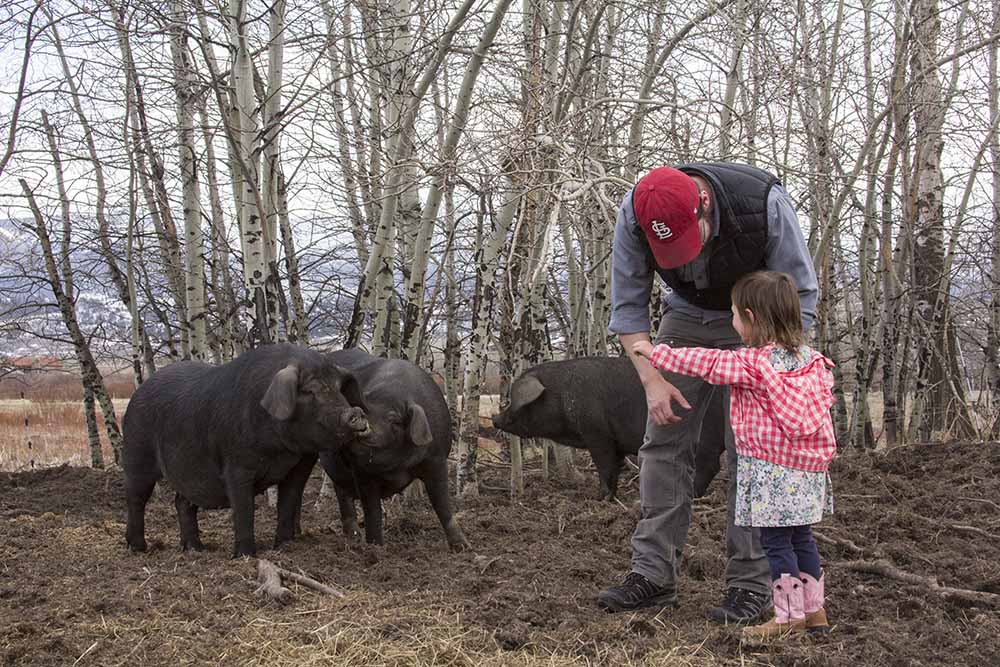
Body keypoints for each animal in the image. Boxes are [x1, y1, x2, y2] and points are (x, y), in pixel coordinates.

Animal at [121, 344, 370, 560]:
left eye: (338, 388)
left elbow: (288, 503)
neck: (279, 450)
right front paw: (245, 555)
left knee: (182, 501)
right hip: (137, 453)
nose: (355, 412)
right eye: (309, 390)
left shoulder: (301, 464)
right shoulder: (236, 464)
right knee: (136, 499)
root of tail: (137, 393)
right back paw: (138, 548)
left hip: (188, 471)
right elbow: (244, 509)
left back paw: (195, 549)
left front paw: (284, 546)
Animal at [324, 350, 472, 552]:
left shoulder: (437, 459)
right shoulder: (362, 472)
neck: (397, 467)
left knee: (341, 491)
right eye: (364, 409)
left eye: (394, 420)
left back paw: (353, 538)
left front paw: (463, 547)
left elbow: (442, 504)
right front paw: (375, 549)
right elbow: (372, 512)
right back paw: (354, 539)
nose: (361, 425)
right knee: (341, 493)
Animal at [490, 358, 720, 498]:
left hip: (706, 435)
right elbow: (616, 466)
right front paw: (612, 495)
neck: (561, 394)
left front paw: (601, 497)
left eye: (514, 400)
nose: (494, 418)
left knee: (709, 465)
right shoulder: (616, 441)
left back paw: (694, 494)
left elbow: (604, 466)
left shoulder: (598, 434)